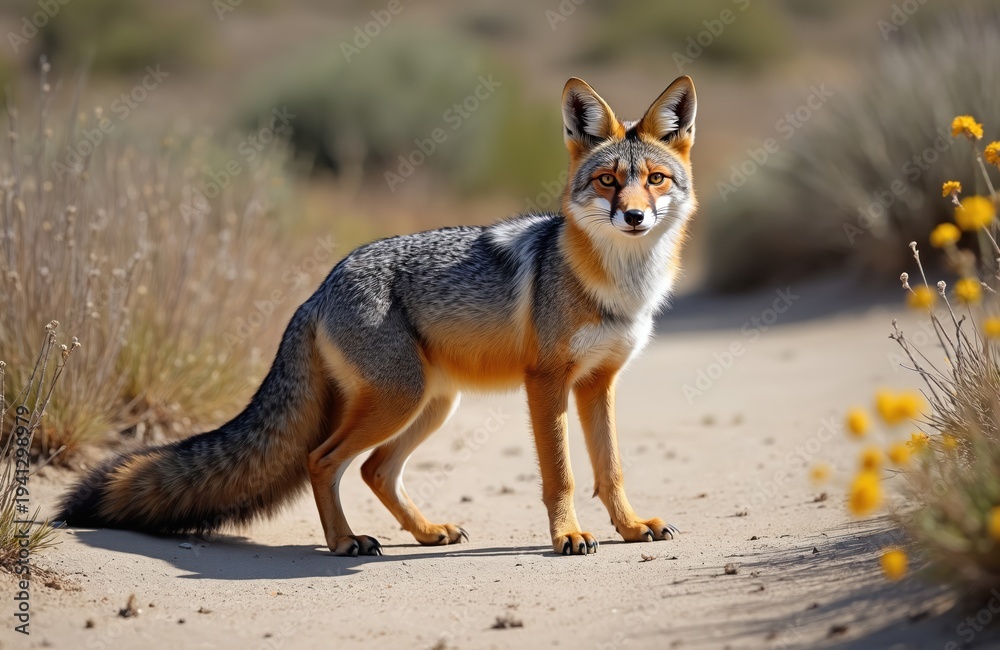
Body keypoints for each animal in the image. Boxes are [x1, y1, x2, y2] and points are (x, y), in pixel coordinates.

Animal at [58, 75, 698, 556]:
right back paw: (344, 542)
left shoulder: (598, 384)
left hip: (430, 404)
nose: (634, 217)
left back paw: (426, 531)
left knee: (373, 470)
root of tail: (318, 290)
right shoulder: (546, 383)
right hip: (401, 398)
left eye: (655, 179)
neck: (617, 286)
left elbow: (611, 468)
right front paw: (567, 536)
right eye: (608, 181)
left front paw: (630, 527)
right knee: (323, 460)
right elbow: (561, 474)